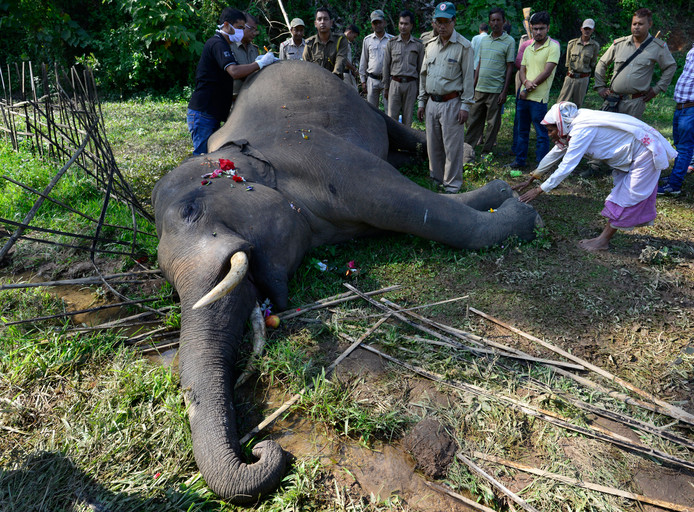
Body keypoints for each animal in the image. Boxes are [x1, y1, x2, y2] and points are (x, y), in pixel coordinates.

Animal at [154, 60, 544, 504]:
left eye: (190, 210)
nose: (259, 449)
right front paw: (507, 198)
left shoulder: (322, 155)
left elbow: (414, 207)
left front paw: (520, 211)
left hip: (358, 100)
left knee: (396, 128)